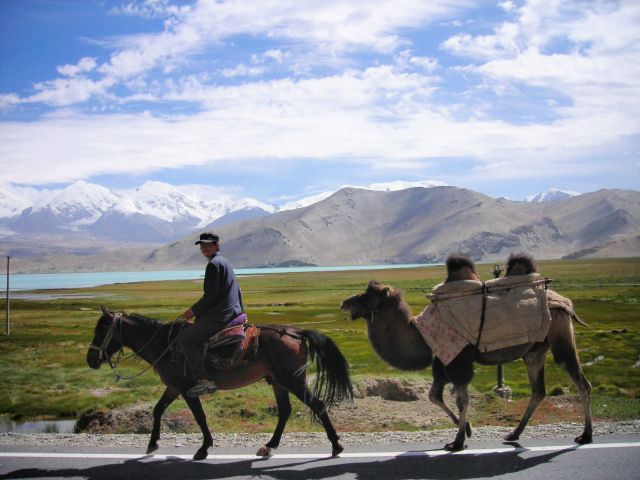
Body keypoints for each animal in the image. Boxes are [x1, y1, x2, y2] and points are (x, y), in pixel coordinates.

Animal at [85, 310, 352, 460]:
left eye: (102, 329)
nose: (90, 360)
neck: (164, 345)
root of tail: (296, 332)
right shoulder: (173, 387)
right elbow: (158, 409)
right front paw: (152, 443)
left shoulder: (187, 390)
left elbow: (200, 417)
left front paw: (203, 449)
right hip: (278, 382)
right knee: (285, 411)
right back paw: (268, 447)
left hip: (292, 380)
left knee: (317, 405)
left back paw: (336, 446)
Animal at [342, 253, 592, 452]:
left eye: (366, 296)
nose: (344, 303)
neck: (421, 333)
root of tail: (563, 301)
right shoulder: (442, 359)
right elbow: (434, 395)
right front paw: (468, 430)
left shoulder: (458, 358)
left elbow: (461, 399)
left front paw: (458, 441)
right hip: (535, 350)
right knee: (538, 389)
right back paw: (514, 434)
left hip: (560, 334)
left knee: (580, 381)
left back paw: (585, 435)